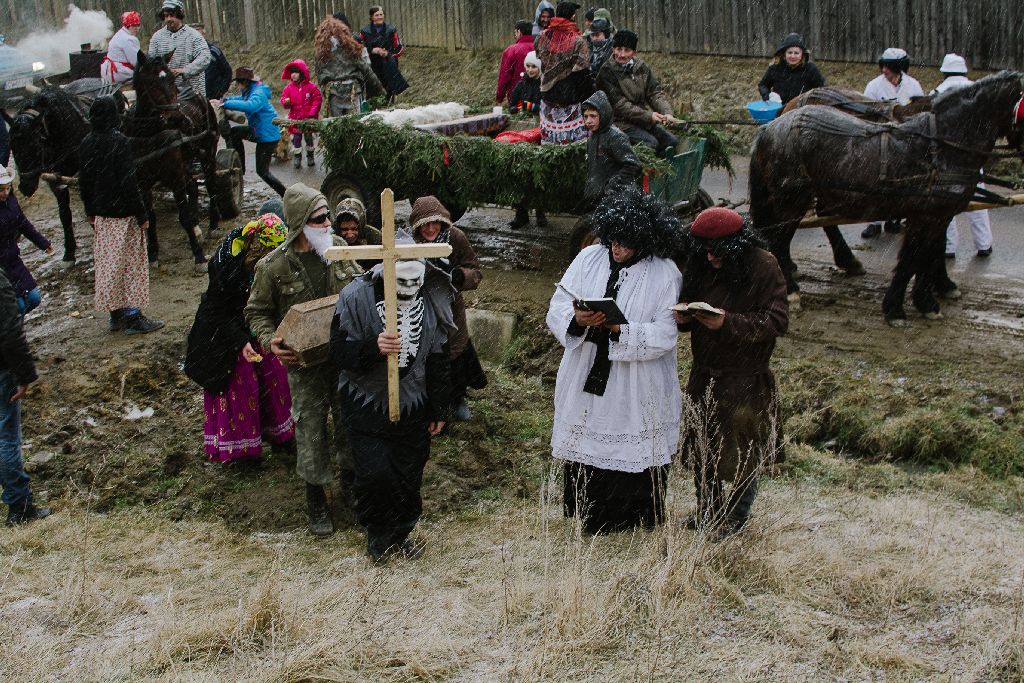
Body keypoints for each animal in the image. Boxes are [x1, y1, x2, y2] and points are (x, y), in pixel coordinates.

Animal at [749, 69, 1019, 323]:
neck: (940, 146)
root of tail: (770, 127)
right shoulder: (926, 215)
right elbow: (914, 257)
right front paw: (901, 307)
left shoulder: (938, 213)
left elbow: (929, 252)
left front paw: (934, 293)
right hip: (791, 200)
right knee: (779, 241)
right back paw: (792, 290)